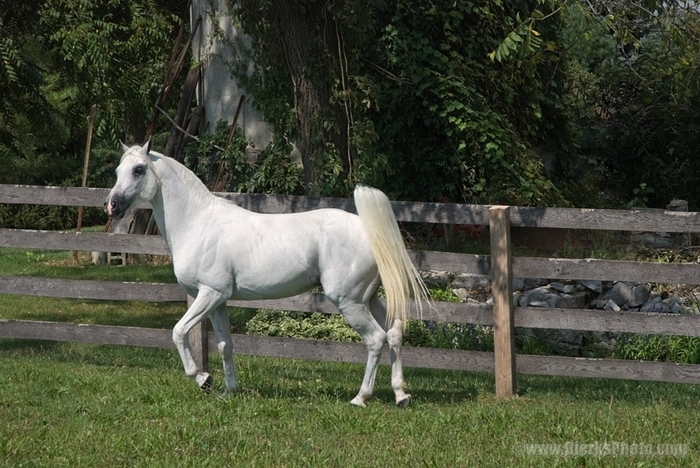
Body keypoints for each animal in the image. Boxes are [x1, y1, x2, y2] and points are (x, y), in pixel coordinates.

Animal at [106, 141, 430, 408]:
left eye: (138, 169)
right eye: (117, 170)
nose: (111, 206)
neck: (198, 222)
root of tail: (370, 231)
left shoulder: (209, 294)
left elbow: (179, 332)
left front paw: (203, 379)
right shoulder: (218, 301)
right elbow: (225, 345)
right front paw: (228, 391)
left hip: (349, 301)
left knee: (376, 339)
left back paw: (360, 398)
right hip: (369, 298)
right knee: (394, 333)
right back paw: (401, 396)